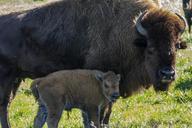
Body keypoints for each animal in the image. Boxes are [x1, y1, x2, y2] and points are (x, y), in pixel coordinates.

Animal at [0, 0, 186, 127]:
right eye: (151, 48)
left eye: (176, 45)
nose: (168, 74)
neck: (130, 35)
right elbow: (99, 112)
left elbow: (107, 111)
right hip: (6, 78)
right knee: (4, 105)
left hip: (16, 79)